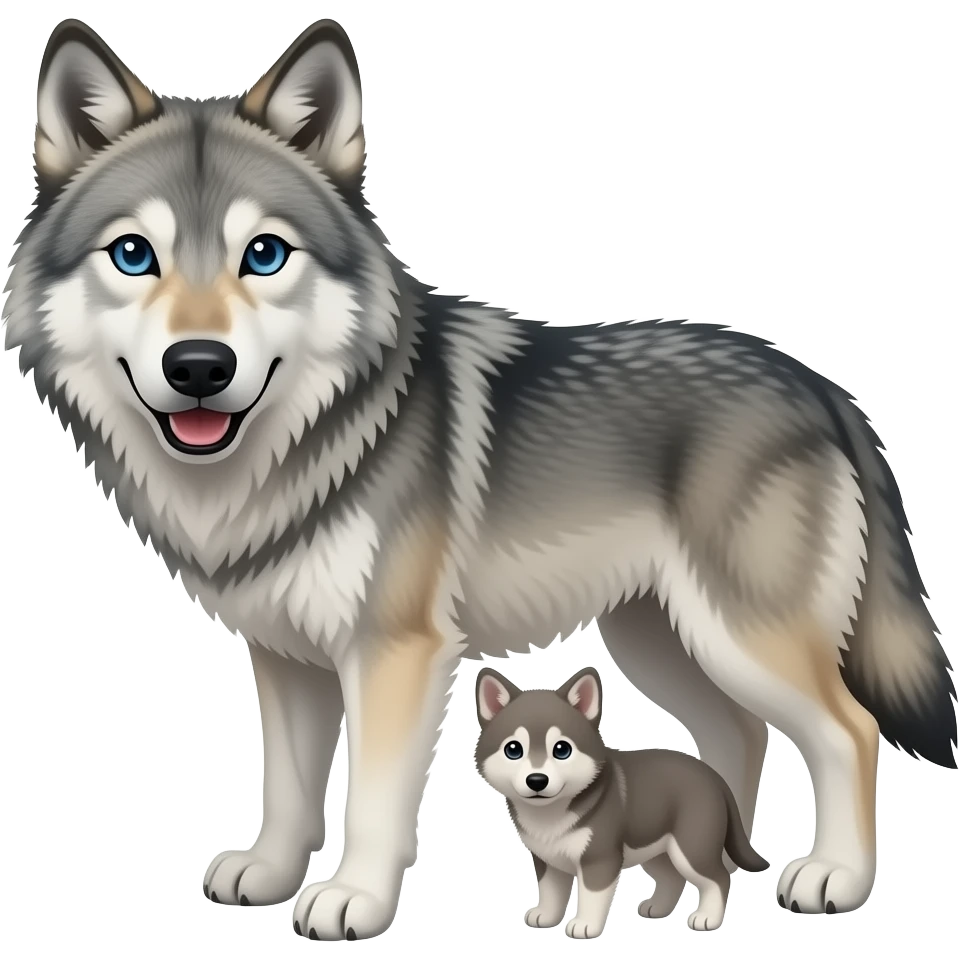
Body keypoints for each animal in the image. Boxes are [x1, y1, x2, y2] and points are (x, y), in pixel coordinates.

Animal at [474, 667, 770, 937]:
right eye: (513, 750)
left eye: (562, 750)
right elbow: (551, 891)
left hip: (691, 847)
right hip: (655, 848)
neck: (550, 814)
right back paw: (658, 908)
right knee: (672, 877)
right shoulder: (548, 859)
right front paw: (547, 916)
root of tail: (714, 776)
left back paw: (707, 918)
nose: (537, 780)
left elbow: (592, 895)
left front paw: (585, 925)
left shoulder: (599, 858)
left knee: (718, 878)